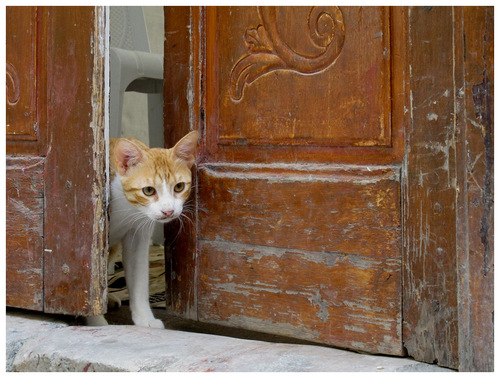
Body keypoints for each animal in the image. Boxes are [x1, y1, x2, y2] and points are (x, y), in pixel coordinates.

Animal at [87, 131, 198, 328]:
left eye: (179, 187)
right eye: (148, 190)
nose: (168, 211)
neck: (127, 206)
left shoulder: (138, 235)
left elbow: (139, 279)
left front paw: (145, 319)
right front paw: (97, 323)